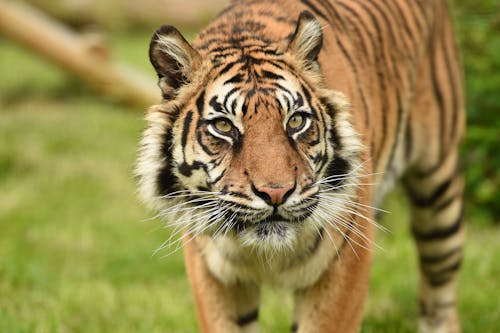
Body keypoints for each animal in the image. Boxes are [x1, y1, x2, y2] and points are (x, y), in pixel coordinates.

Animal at [136, 0, 464, 330]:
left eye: (295, 121)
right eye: (224, 126)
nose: (276, 193)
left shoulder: (346, 257)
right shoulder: (210, 269)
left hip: (438, 197)